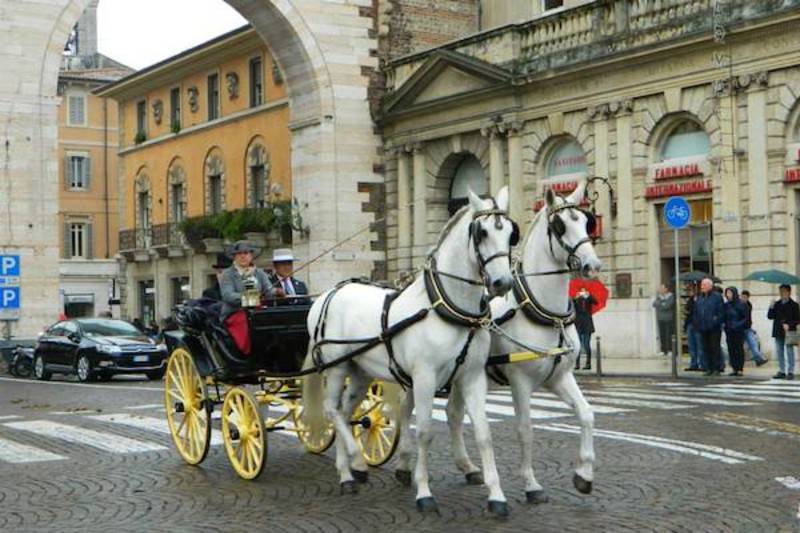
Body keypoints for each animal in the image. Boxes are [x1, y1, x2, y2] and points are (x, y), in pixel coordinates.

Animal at [304, 187, 520, 516]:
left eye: (510, 233)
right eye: (481, 232)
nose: (502, 282)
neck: (447, 308)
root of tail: (328, 294)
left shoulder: (471, 377)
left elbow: (484, 434)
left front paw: (496, 495)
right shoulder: (424, 378)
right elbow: (424, 432)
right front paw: (424, 491)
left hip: (359, 371)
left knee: (344, 410)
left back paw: (348, 472)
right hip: (335, 366)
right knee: (331, 410)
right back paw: (354, 465)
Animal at [444, 179, 600, 502]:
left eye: (586, 221)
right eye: (559, 226)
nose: (593, 265)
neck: (544, 312)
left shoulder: (559, 377)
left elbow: (587, 414)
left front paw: (584, 475)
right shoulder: (520, 381)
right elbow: (525, 430)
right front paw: (531, 484)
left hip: (461, 376)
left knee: (452, 414)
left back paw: (468, 467)